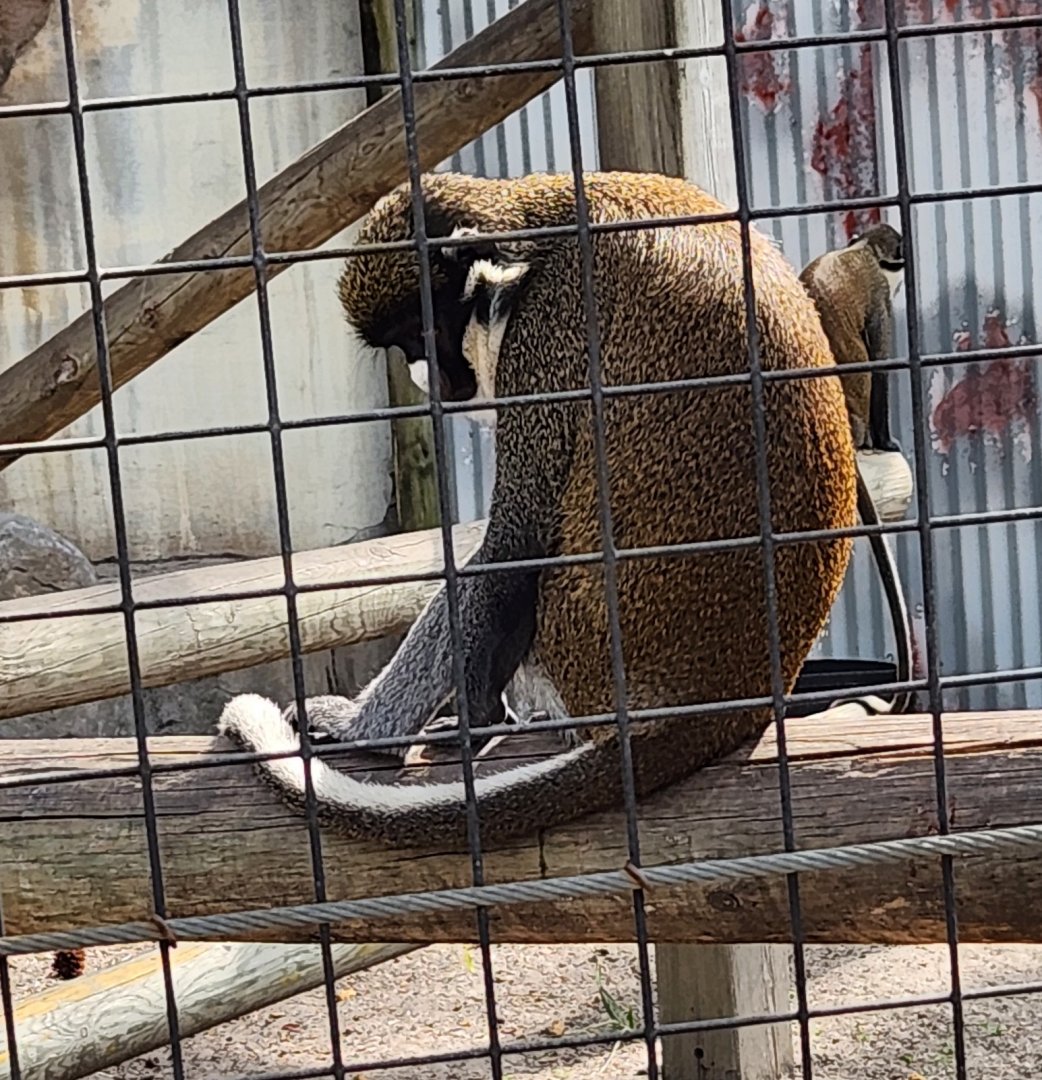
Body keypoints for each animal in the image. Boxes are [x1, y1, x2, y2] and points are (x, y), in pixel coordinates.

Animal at [218, 170, 858, 850]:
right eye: (408, 343)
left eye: (425, 336)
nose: (425, 375)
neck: (537, 228)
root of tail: (738, 697)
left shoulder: (546, 330)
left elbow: (512, 545)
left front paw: (389, 726)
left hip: (577, 649)